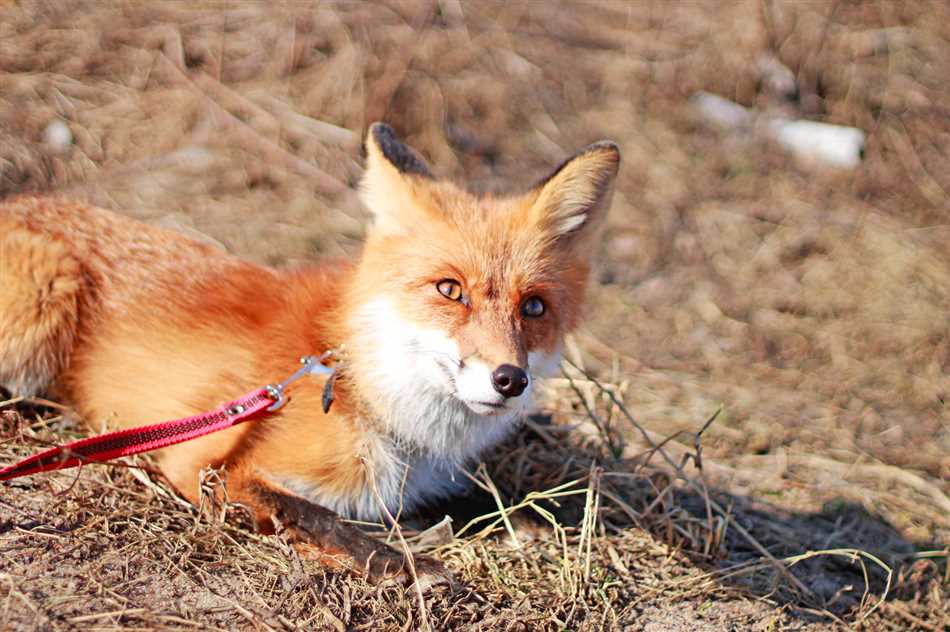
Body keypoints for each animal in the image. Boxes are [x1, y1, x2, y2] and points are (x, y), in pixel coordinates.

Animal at [0, 124, 620, 588]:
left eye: (534, 307)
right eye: (450, 290)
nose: (509, 379)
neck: (360, 388)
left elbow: (483, 500)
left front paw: (538, 518)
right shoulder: (206, 467)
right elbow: (321, 518)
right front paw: (408, 565)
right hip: (41, 307)